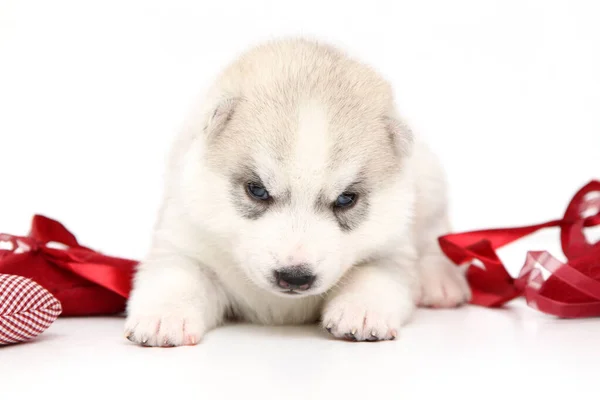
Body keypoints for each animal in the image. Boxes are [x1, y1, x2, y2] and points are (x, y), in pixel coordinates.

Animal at [124, 37, 472, 346]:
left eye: (346, 199)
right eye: (257, 190)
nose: (294, 277)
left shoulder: (391, 250)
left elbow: (374, 275)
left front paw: (361, 311)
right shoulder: (182, 241)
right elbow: (176, 277)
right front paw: (164, 316)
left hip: (428, 182)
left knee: (433, 232)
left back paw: (441, 281)